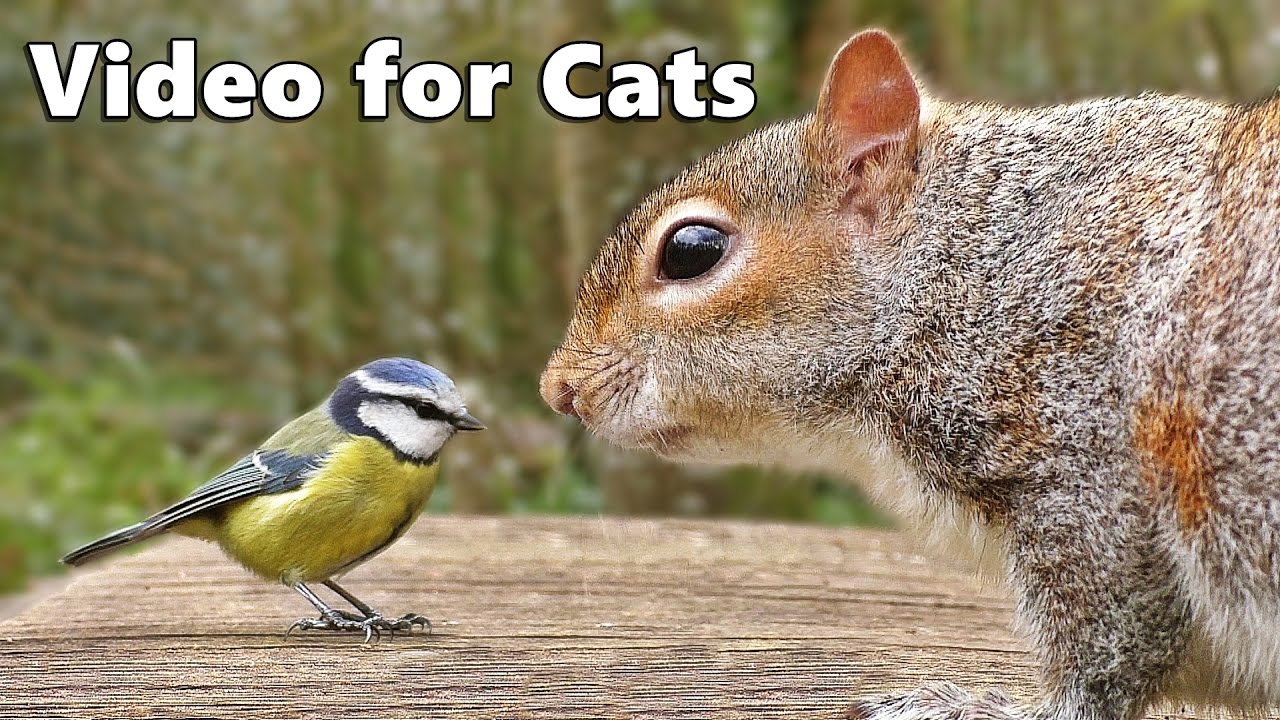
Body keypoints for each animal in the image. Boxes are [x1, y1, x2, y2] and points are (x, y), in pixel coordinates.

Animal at [539, 28, 1280, 720]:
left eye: (692, 250)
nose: (560, 389)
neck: (962, 266)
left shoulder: (1083, 455)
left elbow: (1105, 647)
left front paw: (983, 705)